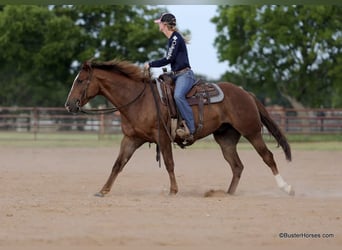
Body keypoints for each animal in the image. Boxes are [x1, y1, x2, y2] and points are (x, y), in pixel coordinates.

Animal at [66, 59, 294, 197]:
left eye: (81, 80)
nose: (69, 105)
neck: (138, 100)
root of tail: (246, 93)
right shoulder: (131, 139)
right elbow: (118, 164)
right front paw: (103, 190)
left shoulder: (163, 138)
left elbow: (169, 164)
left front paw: (173, 190)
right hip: (226, 139)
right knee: (237, 166)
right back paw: (227, 194)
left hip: (252, 132)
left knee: (267, 157)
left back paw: (286, 187)